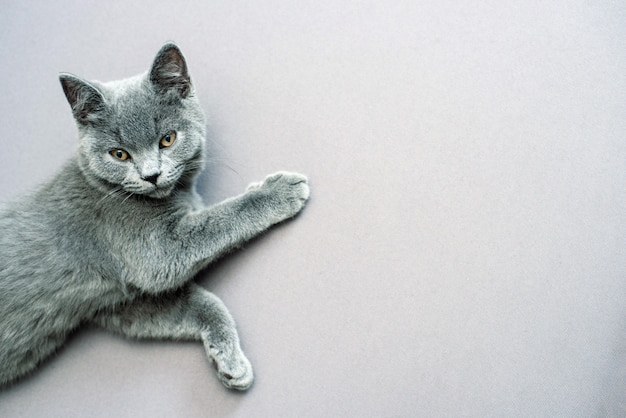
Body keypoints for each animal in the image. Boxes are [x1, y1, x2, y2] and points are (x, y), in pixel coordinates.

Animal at [0, 44, 308, 390]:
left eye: (167, 139)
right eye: (119, 154)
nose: (151, 175)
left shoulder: (118, 301)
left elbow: (198, 305)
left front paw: (229, 362)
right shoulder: (153, 250)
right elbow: (218, 220)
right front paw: (279, 191)